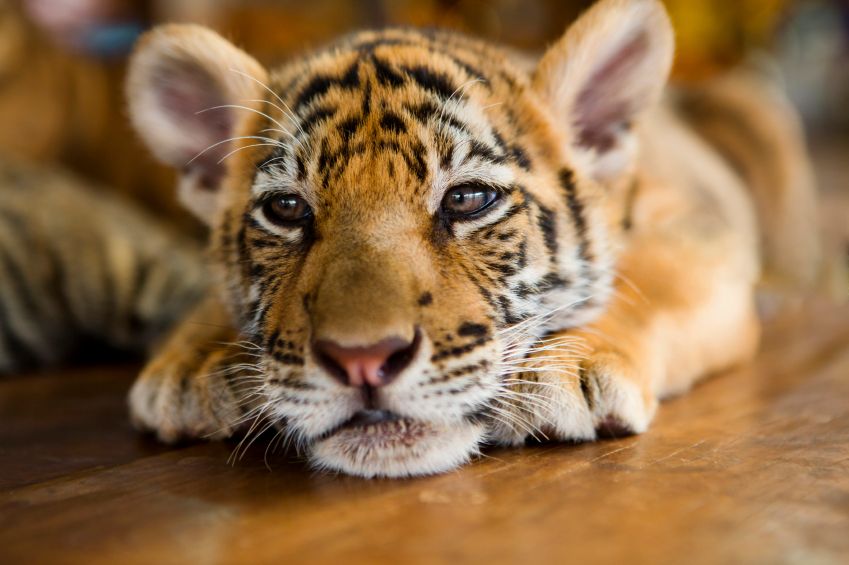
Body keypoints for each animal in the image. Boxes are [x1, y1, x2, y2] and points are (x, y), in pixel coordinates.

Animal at [122, 0, 820, 476]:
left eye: (466, 199)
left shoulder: (698, 229)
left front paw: (569, 367)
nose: (363, 360)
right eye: (288, 209)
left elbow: (651, 278)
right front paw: (191, 363)